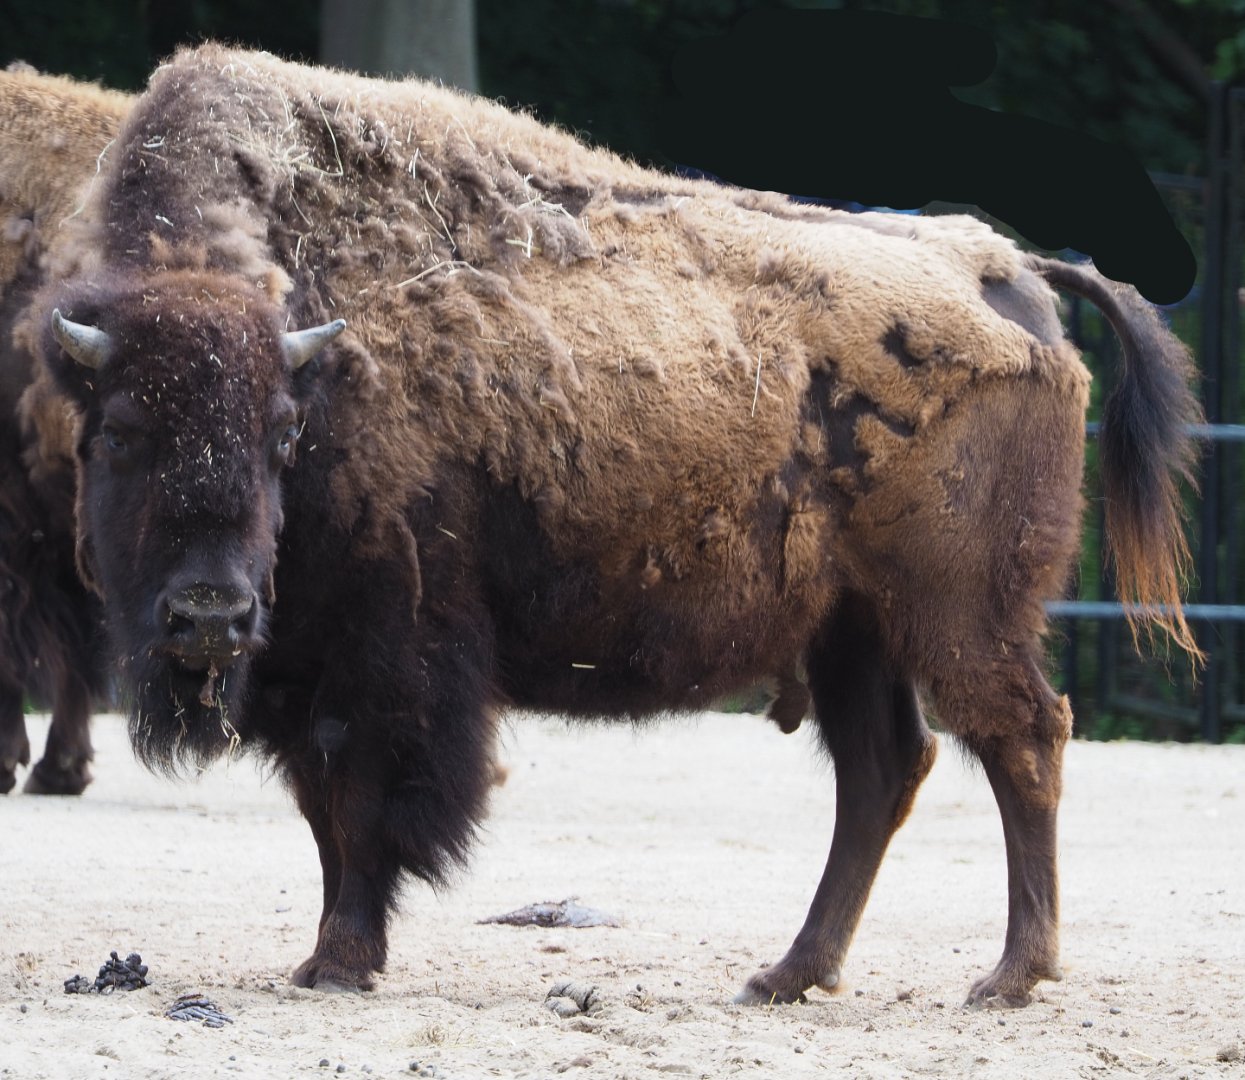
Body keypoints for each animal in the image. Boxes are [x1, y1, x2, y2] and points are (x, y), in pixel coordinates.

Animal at [31, 46, 1199, 1005]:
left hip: (957, 615)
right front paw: (327, 957)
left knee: (1023, 738)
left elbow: (363, 805)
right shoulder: (302, 660)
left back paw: (1008, 976)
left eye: (281, 431)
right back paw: (788, 973)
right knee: (883, 772)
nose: (209, 616)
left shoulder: (388, 654)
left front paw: (339, 962)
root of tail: (1011, 274)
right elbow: (325, 811)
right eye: (119, 431)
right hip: (851, 627)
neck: (308, 347)